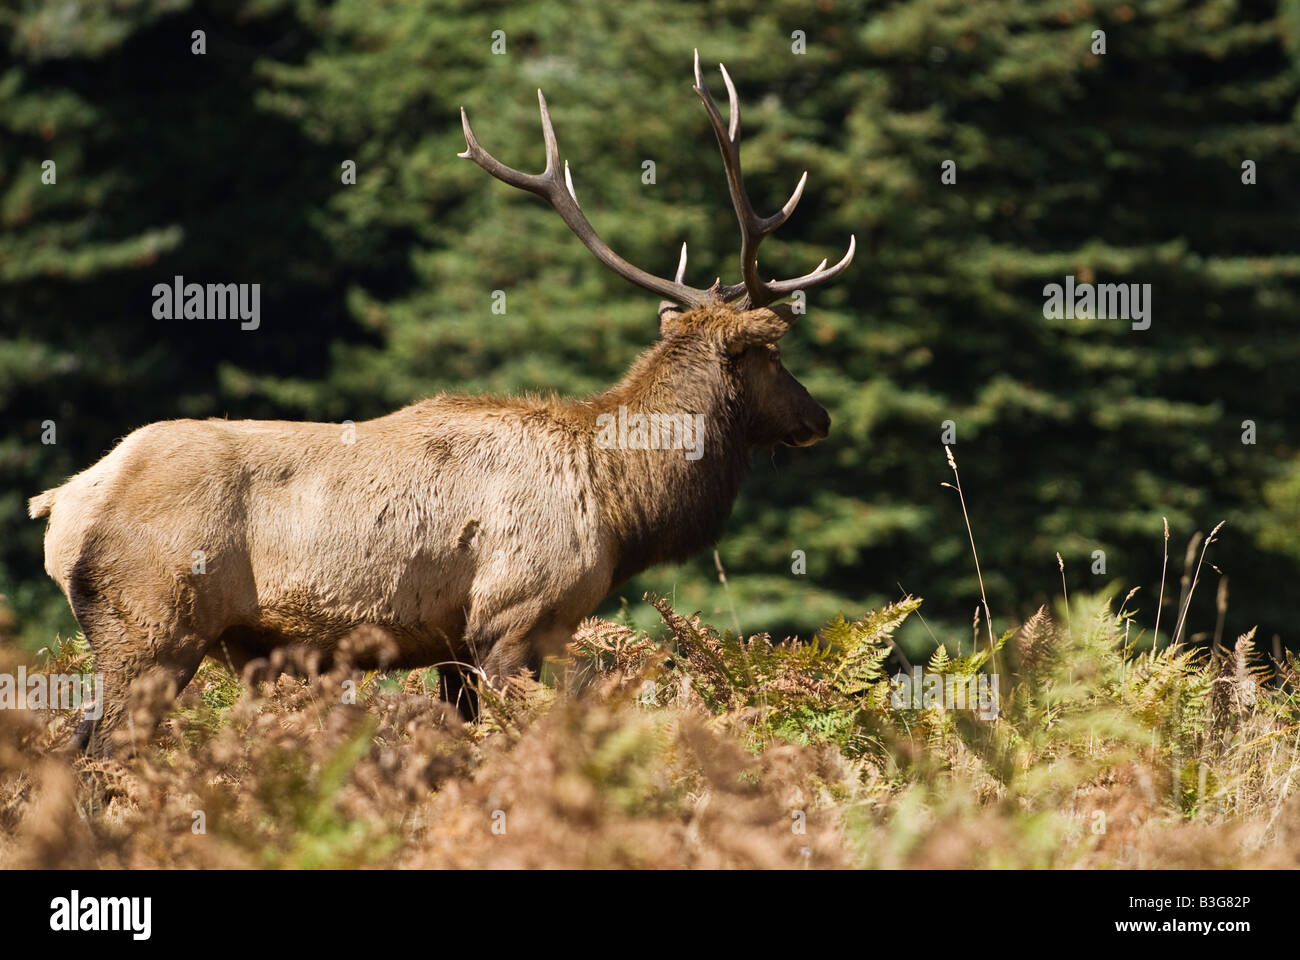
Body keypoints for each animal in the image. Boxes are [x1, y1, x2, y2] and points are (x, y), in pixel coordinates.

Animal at [27, 52, 852, 749]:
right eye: (776, 355)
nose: (820, 417)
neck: (620, 506)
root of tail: (62, 503)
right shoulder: (512, 620)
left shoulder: (451, 644)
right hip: (151, 623)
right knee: (103, 752)